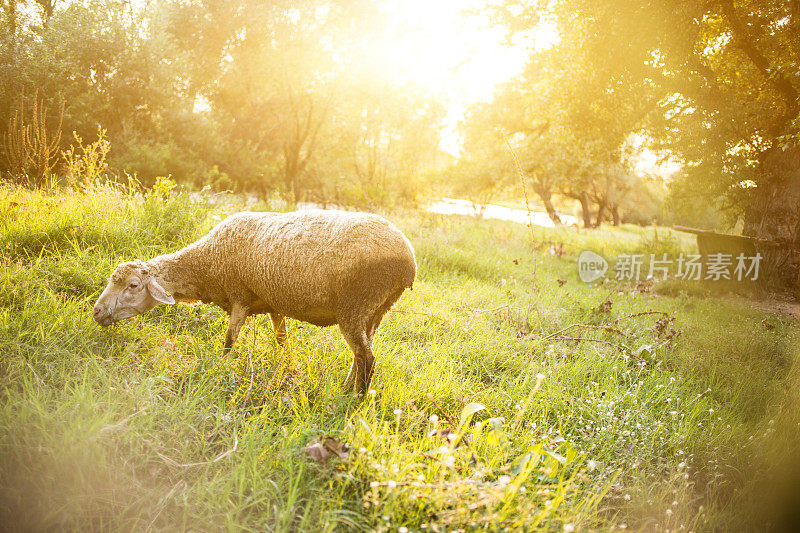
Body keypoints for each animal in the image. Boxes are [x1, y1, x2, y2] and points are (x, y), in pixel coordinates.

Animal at [94, 210, 416, 392]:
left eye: (133, 285)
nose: (96, 312)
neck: (206, 263)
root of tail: (408, 261)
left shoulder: (240, 298)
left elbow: (229, 341)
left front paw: (218, 368)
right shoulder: (275, 304)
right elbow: (282, 341)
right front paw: (290, 370)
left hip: (355, 304)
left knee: (367, 359)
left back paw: (352, 400)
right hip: (376, 310)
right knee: (361, 355)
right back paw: (348, 386)